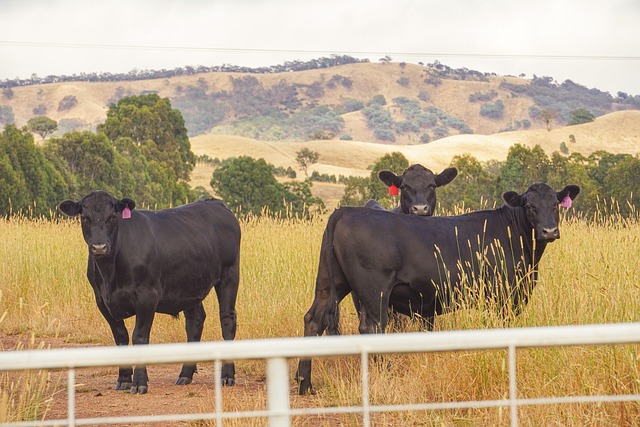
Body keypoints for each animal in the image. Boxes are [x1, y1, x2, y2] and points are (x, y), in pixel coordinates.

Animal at [59, 192, 240, 396]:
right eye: (84, 218)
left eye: (112, 217)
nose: (99, 247)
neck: (109, 274)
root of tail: (215, 203)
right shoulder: (102, 301)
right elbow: (121, 337)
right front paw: (123, 380)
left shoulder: (147, 297)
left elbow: (139, 337)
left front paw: (139, 382)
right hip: (190, 285)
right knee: (195, 322)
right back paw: (185, 374)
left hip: (229, 275)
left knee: (227, 320)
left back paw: (227, 376)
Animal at [298, 183, 584, 394]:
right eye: (529, 206)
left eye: (555, 205)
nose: (549, 231)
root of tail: (346, 211)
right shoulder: (503, 295)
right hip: (374, 290)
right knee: (371, 328)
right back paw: (385, 373)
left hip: (329, 282)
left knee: (313, 319)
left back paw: (304, 384)